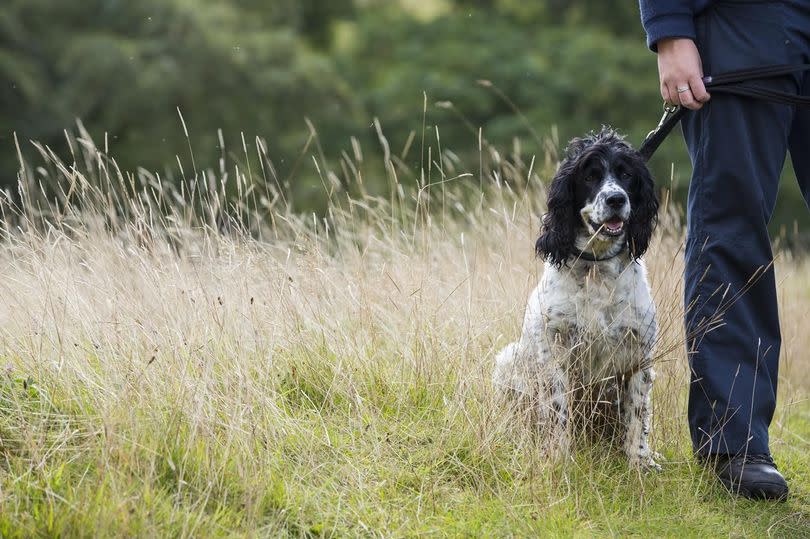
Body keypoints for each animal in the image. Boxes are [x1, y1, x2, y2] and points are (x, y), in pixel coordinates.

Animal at [490, 125, 660, 468]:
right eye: (590, 176)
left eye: (626, 174)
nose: (616, 198)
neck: (596, 269)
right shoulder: (555, 351)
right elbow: (558, 412)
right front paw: (558, 458)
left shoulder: (638, 355)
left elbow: (638, 417)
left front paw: (639, 464)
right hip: (509, 359)